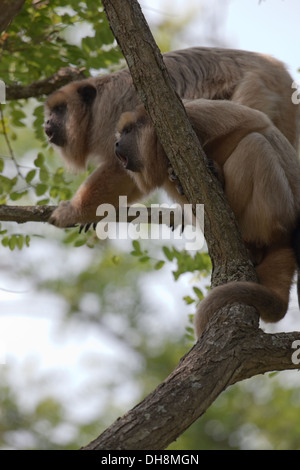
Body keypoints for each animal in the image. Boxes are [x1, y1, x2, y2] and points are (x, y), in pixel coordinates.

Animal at [43, 47, 298, 228]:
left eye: (60, 110)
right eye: (51, 112)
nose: (46, 122)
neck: (95, 111)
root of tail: (281, 73)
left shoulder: (113, 115)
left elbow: (118, 170)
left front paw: (73, 212)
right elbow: (130, 180)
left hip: (256, 87)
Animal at [115, 100, 300, 338]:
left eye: (128, 131)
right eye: (121, 133)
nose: (116, 143)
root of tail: (285, 238)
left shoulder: (194, 113)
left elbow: (255, 123)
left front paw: (217, 170)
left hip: (275, 210)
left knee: (254, 144)